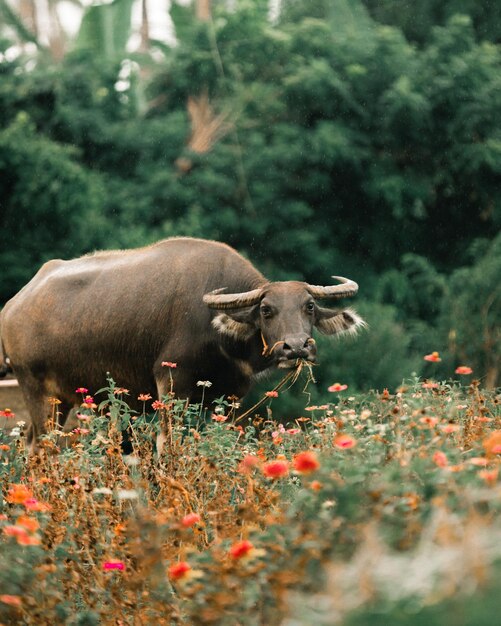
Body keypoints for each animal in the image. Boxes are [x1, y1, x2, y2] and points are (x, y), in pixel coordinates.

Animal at [0, 235, 368, 448]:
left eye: (309, 306)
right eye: (266, 310)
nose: (296, 347)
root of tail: (13, 306)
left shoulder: (230, 398)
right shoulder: (170, 384)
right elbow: (168, 445)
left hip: (61, 399)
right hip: (37, 392)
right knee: (41, 446)